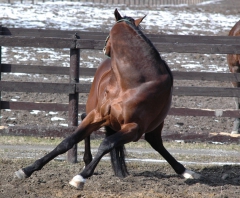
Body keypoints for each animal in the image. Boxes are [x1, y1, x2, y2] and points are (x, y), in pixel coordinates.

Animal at [15, 8, 201, 189]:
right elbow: (68, 141)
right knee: (86, 119)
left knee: (154, 142)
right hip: (96, 109)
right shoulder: (98, 115)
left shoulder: (134, 128)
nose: (105, 49)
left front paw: (80, 177)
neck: (133, 84)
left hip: (152, 125)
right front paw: (26, 170)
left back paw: (185, 171)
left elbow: (106, 144)